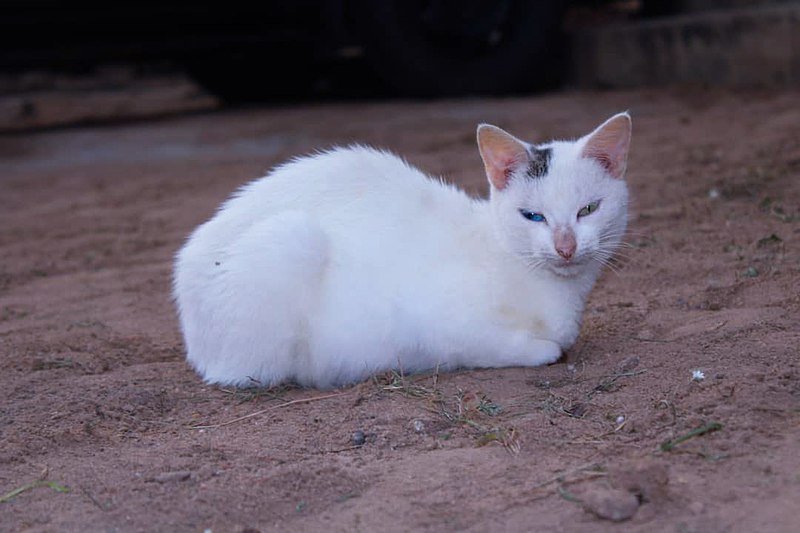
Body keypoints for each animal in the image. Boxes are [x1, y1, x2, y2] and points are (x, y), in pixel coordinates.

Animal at [173, 111, 632, 386]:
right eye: (533, 216)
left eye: (588, 209)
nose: (566, 246)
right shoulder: (426, 322)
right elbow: (528, 347)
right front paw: (543, 349)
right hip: (291, 237)